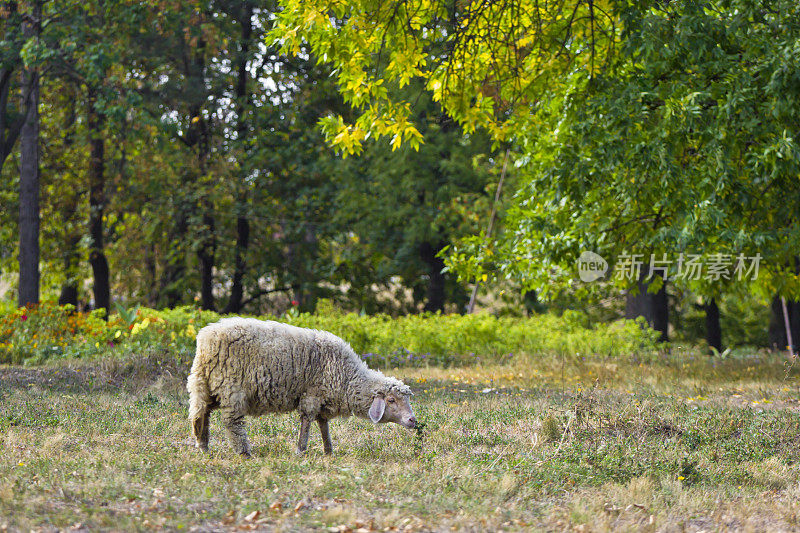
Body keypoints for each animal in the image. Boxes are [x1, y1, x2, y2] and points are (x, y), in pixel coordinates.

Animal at [184, 318, 416, 456]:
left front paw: (328, 451)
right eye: (391, 400)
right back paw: (244, 453)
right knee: (232, 422)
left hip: (208, 386)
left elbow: (323, 424)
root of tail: (205, 340)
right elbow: (307, 421)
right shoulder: (312, 395)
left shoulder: (324, 399)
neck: (347, 376)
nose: (413, 420)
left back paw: (203, 447)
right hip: (232, 388)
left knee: (201, 414)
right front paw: (300, 450)